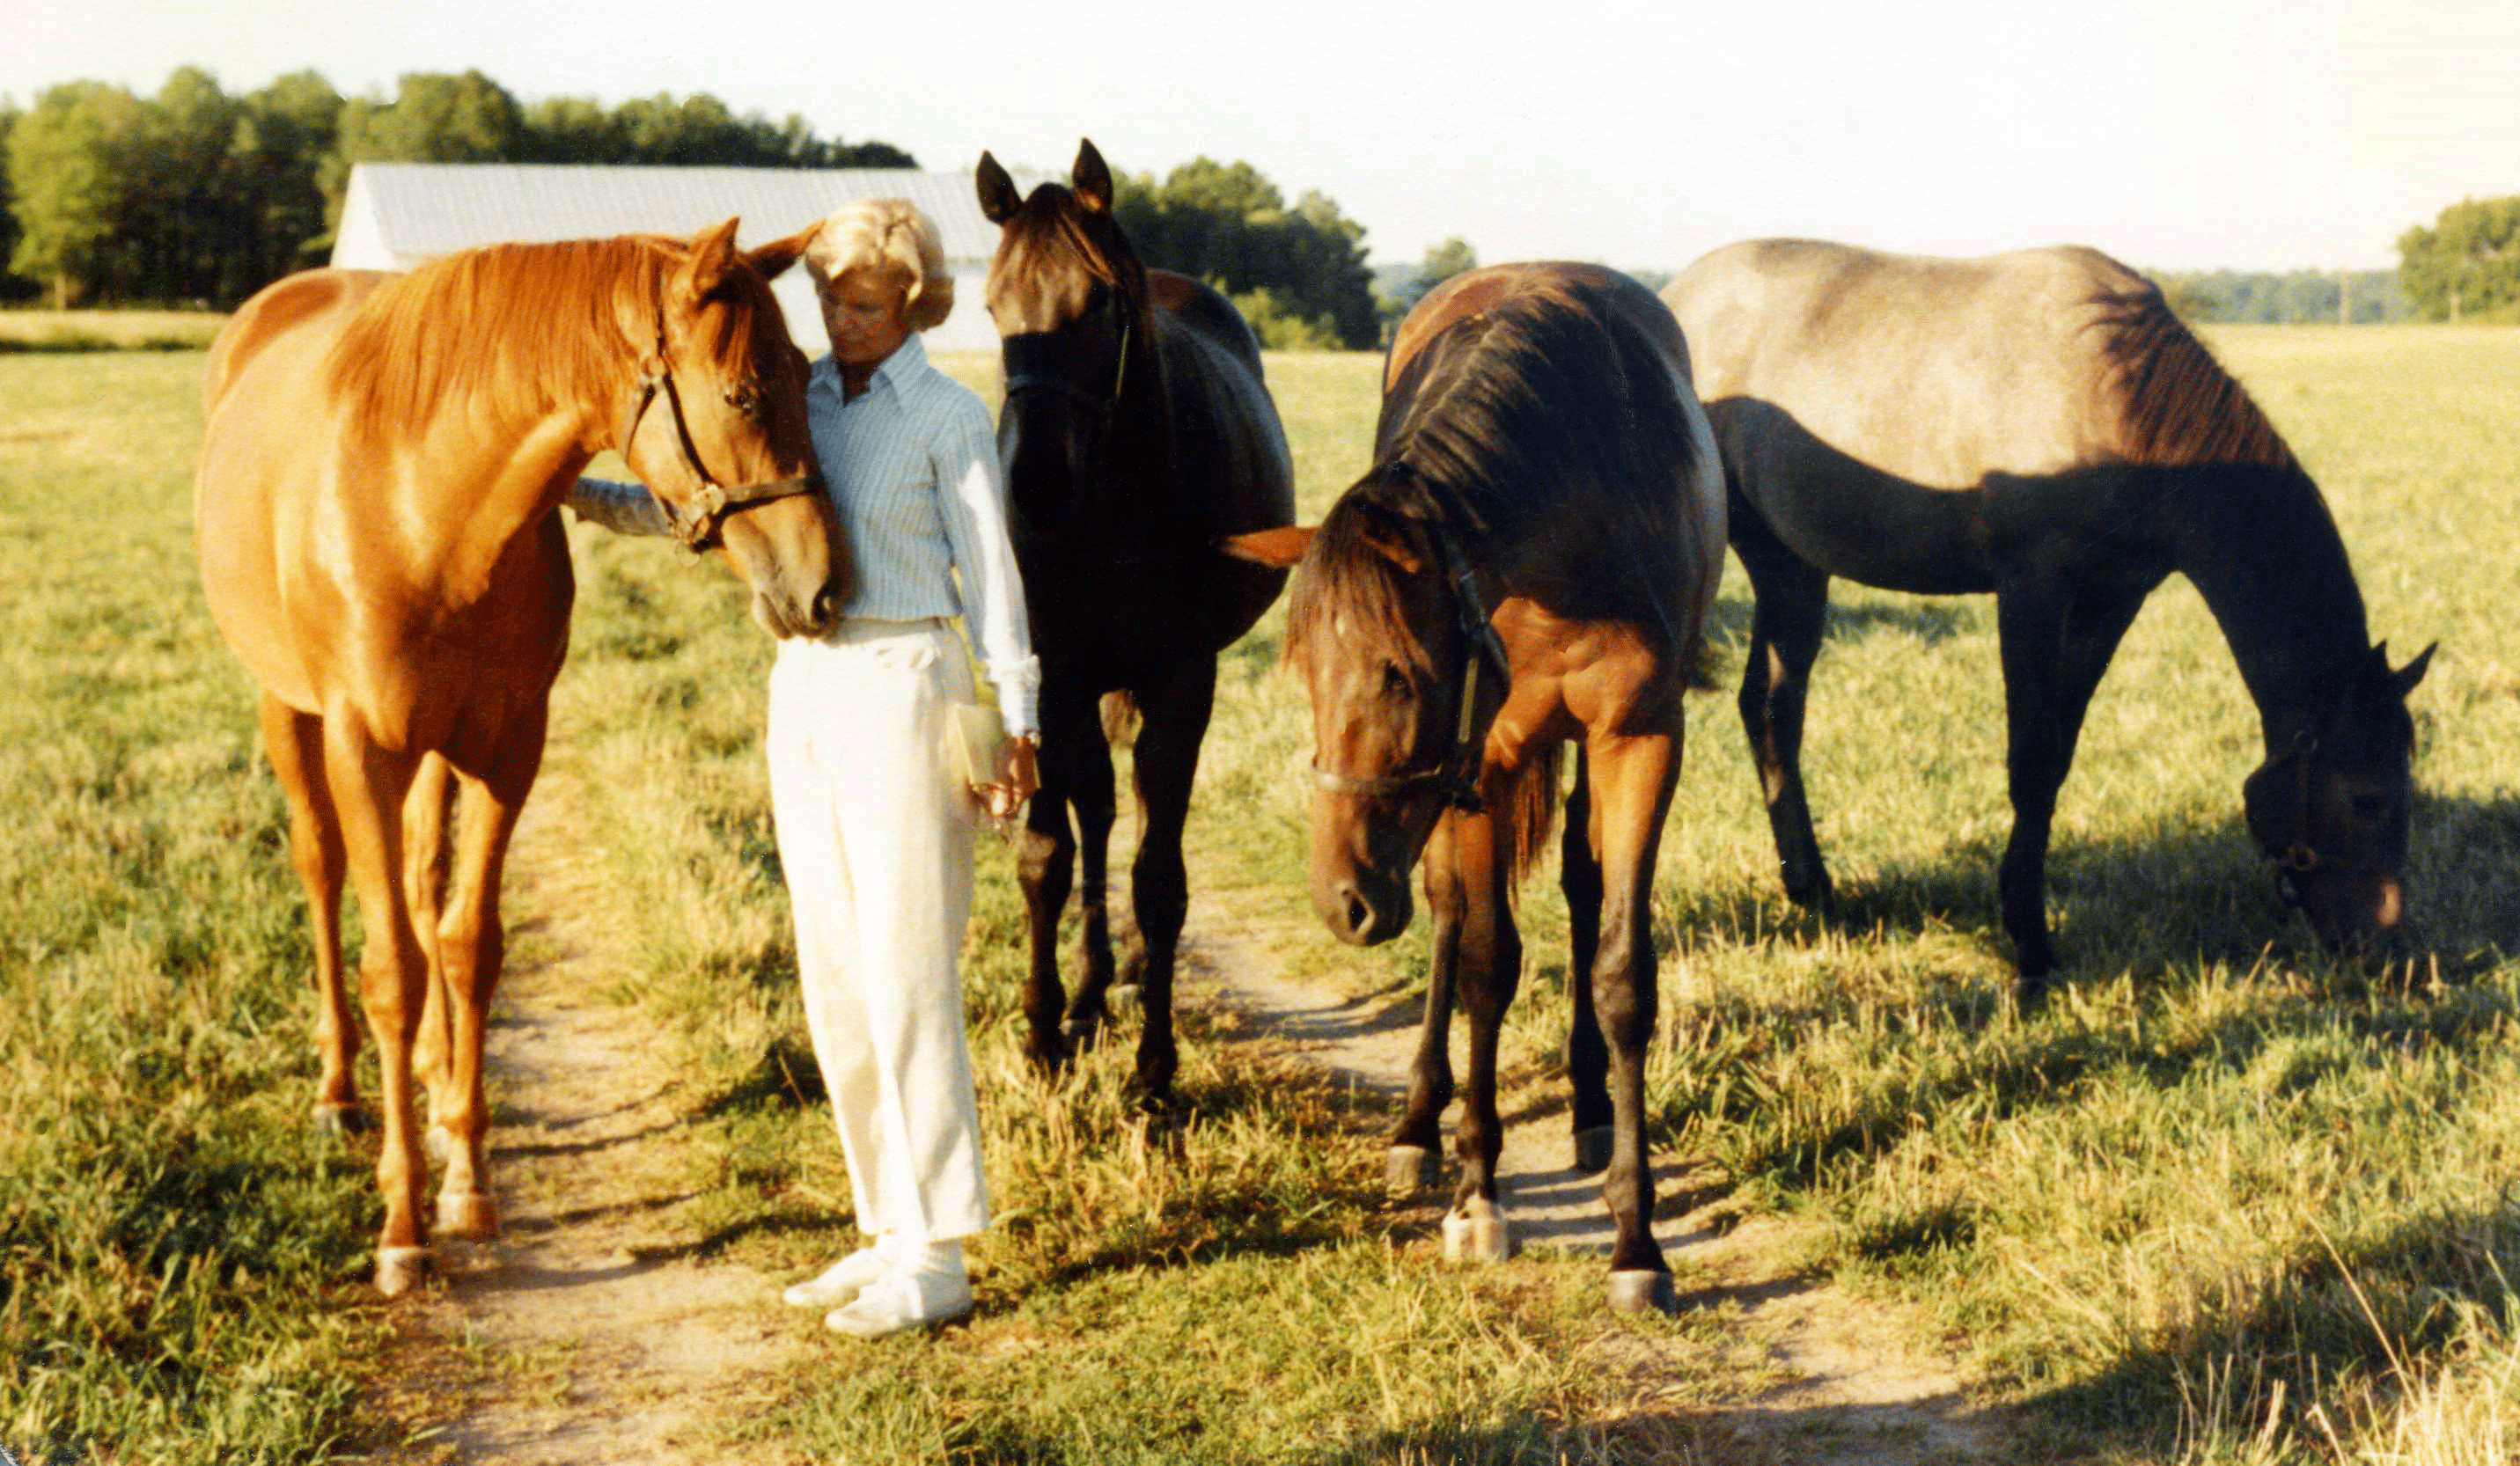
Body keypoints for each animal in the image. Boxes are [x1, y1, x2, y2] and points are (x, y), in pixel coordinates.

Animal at [196, 217, 841, 1300]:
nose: (824, 587)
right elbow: (392, 971)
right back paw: (338, 1090)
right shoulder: (363, 749)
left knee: (424, 885)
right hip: (288, 714)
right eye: (745, 393)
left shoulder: (506, 749)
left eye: (803, 373)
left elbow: (465, 946)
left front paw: (467, 1175)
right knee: (322, 872)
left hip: (434, 758)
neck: (422, 502)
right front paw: (403, 1226)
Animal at [973, 141, 1300, 1103]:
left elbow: (1159, 880)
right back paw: (1086, 996)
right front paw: (1043, 1034)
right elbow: (1047, 857)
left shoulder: (1181, 682)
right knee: (1095, 812)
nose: (1034, 485)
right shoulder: (1049, 677)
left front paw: (1155, 1072)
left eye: (1098, 303)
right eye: (993, 305)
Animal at [1224, 264, 1733, 1319]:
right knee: (1453, 913)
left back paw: (1587, 1109)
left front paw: (1635, 1240)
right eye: (1304, 673)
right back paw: (1423, 1124)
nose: (1338, 902)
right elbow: (1487, 959)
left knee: (1580, 889)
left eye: (1399, 677)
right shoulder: (1484, 756)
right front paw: (1477, 1195)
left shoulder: (1639, 741)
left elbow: (1622, 972)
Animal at [1663, 244, 2428, 997]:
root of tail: (1675, 296)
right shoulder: (2031, 589)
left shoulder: (2108, 601)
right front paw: (2029, 945)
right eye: (2365, 799)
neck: (2120, 404)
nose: (2388, 955)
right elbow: (2029, 761)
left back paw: (1812, 889)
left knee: (1772, 709)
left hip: (1790, 566)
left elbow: (2057, 757)